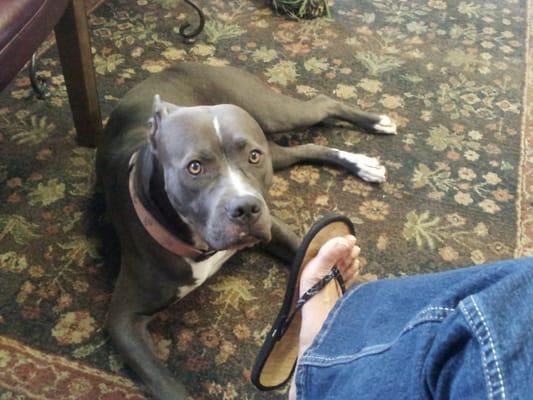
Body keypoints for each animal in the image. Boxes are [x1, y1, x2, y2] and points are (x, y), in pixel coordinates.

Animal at [95, 64, 394, 398]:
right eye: (195, 167)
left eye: (252, 156)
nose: (247, 208)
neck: (201, 248)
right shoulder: (123, 320)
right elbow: (166, 384)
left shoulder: (272, 225)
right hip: (275, 146)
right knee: (305, 145)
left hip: (272, 116)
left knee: (323, 104)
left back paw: (373, 132)